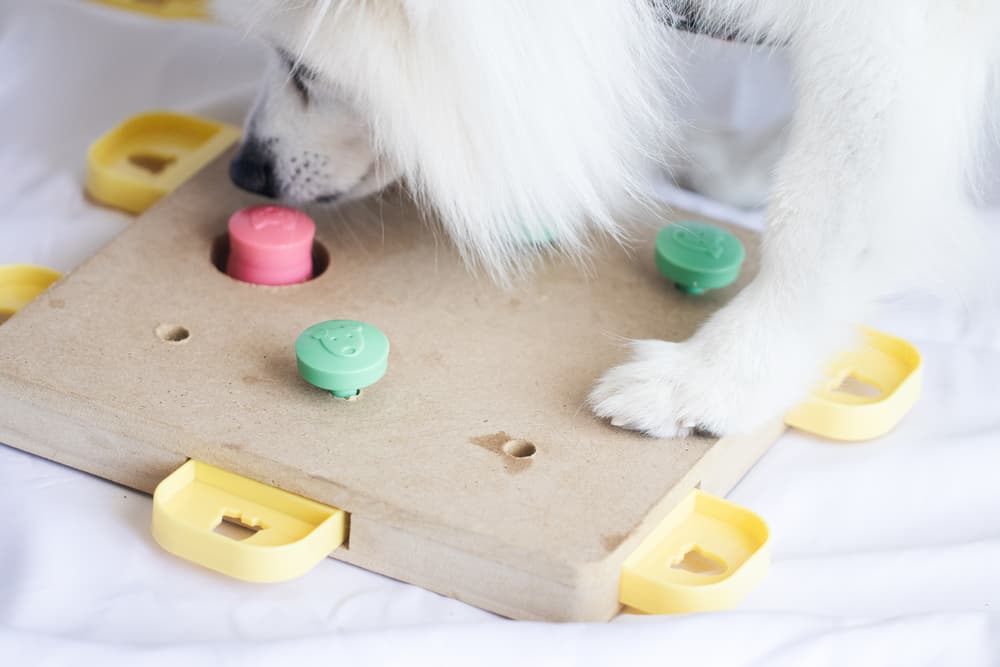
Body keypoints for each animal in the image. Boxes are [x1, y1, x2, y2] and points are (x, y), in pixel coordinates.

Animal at [213, 1, 1000, 438]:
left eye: (303, 69)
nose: (246, 171)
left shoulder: (907, 30)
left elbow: (823, 208)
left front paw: (719, 376)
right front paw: (742, 169)